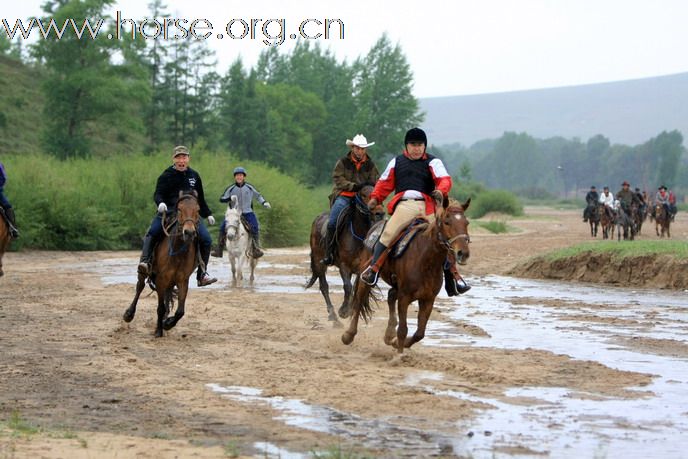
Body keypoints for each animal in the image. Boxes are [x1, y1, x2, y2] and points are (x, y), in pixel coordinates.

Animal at [123, 190, 202, 338]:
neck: (178, 251)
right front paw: (159, 331)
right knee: (139, 287)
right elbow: (160, 307)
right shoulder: (161, 280)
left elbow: (180, 311)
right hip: (145, 272)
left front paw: (168, 323)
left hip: (170, 283)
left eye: (198, 210)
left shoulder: (182, 280)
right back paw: (129, 314)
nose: (189, 232)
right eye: (179, 209)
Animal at [306, 186, 384, 324]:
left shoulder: (361, 269)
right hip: (319, 261)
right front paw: (344, 311)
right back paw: (333, 317)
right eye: (364, 195)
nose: (379, 213)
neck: (358, 235)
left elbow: (356, 288)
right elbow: (348, 286)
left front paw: (351, 308)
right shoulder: (344, 266)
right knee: (324, 286)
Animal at [342, 199, 470, 356]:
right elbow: (403, 330)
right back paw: (348, 335)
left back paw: (389, 334)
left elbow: (419, 333)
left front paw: (396, 343)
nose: (463, 253)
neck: (426, 261)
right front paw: (400, 355)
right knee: (359, 301)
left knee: (391, 295)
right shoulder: (404, 297)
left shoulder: (428, 299)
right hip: (365, 277)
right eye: (447, 222)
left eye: (466, 223)